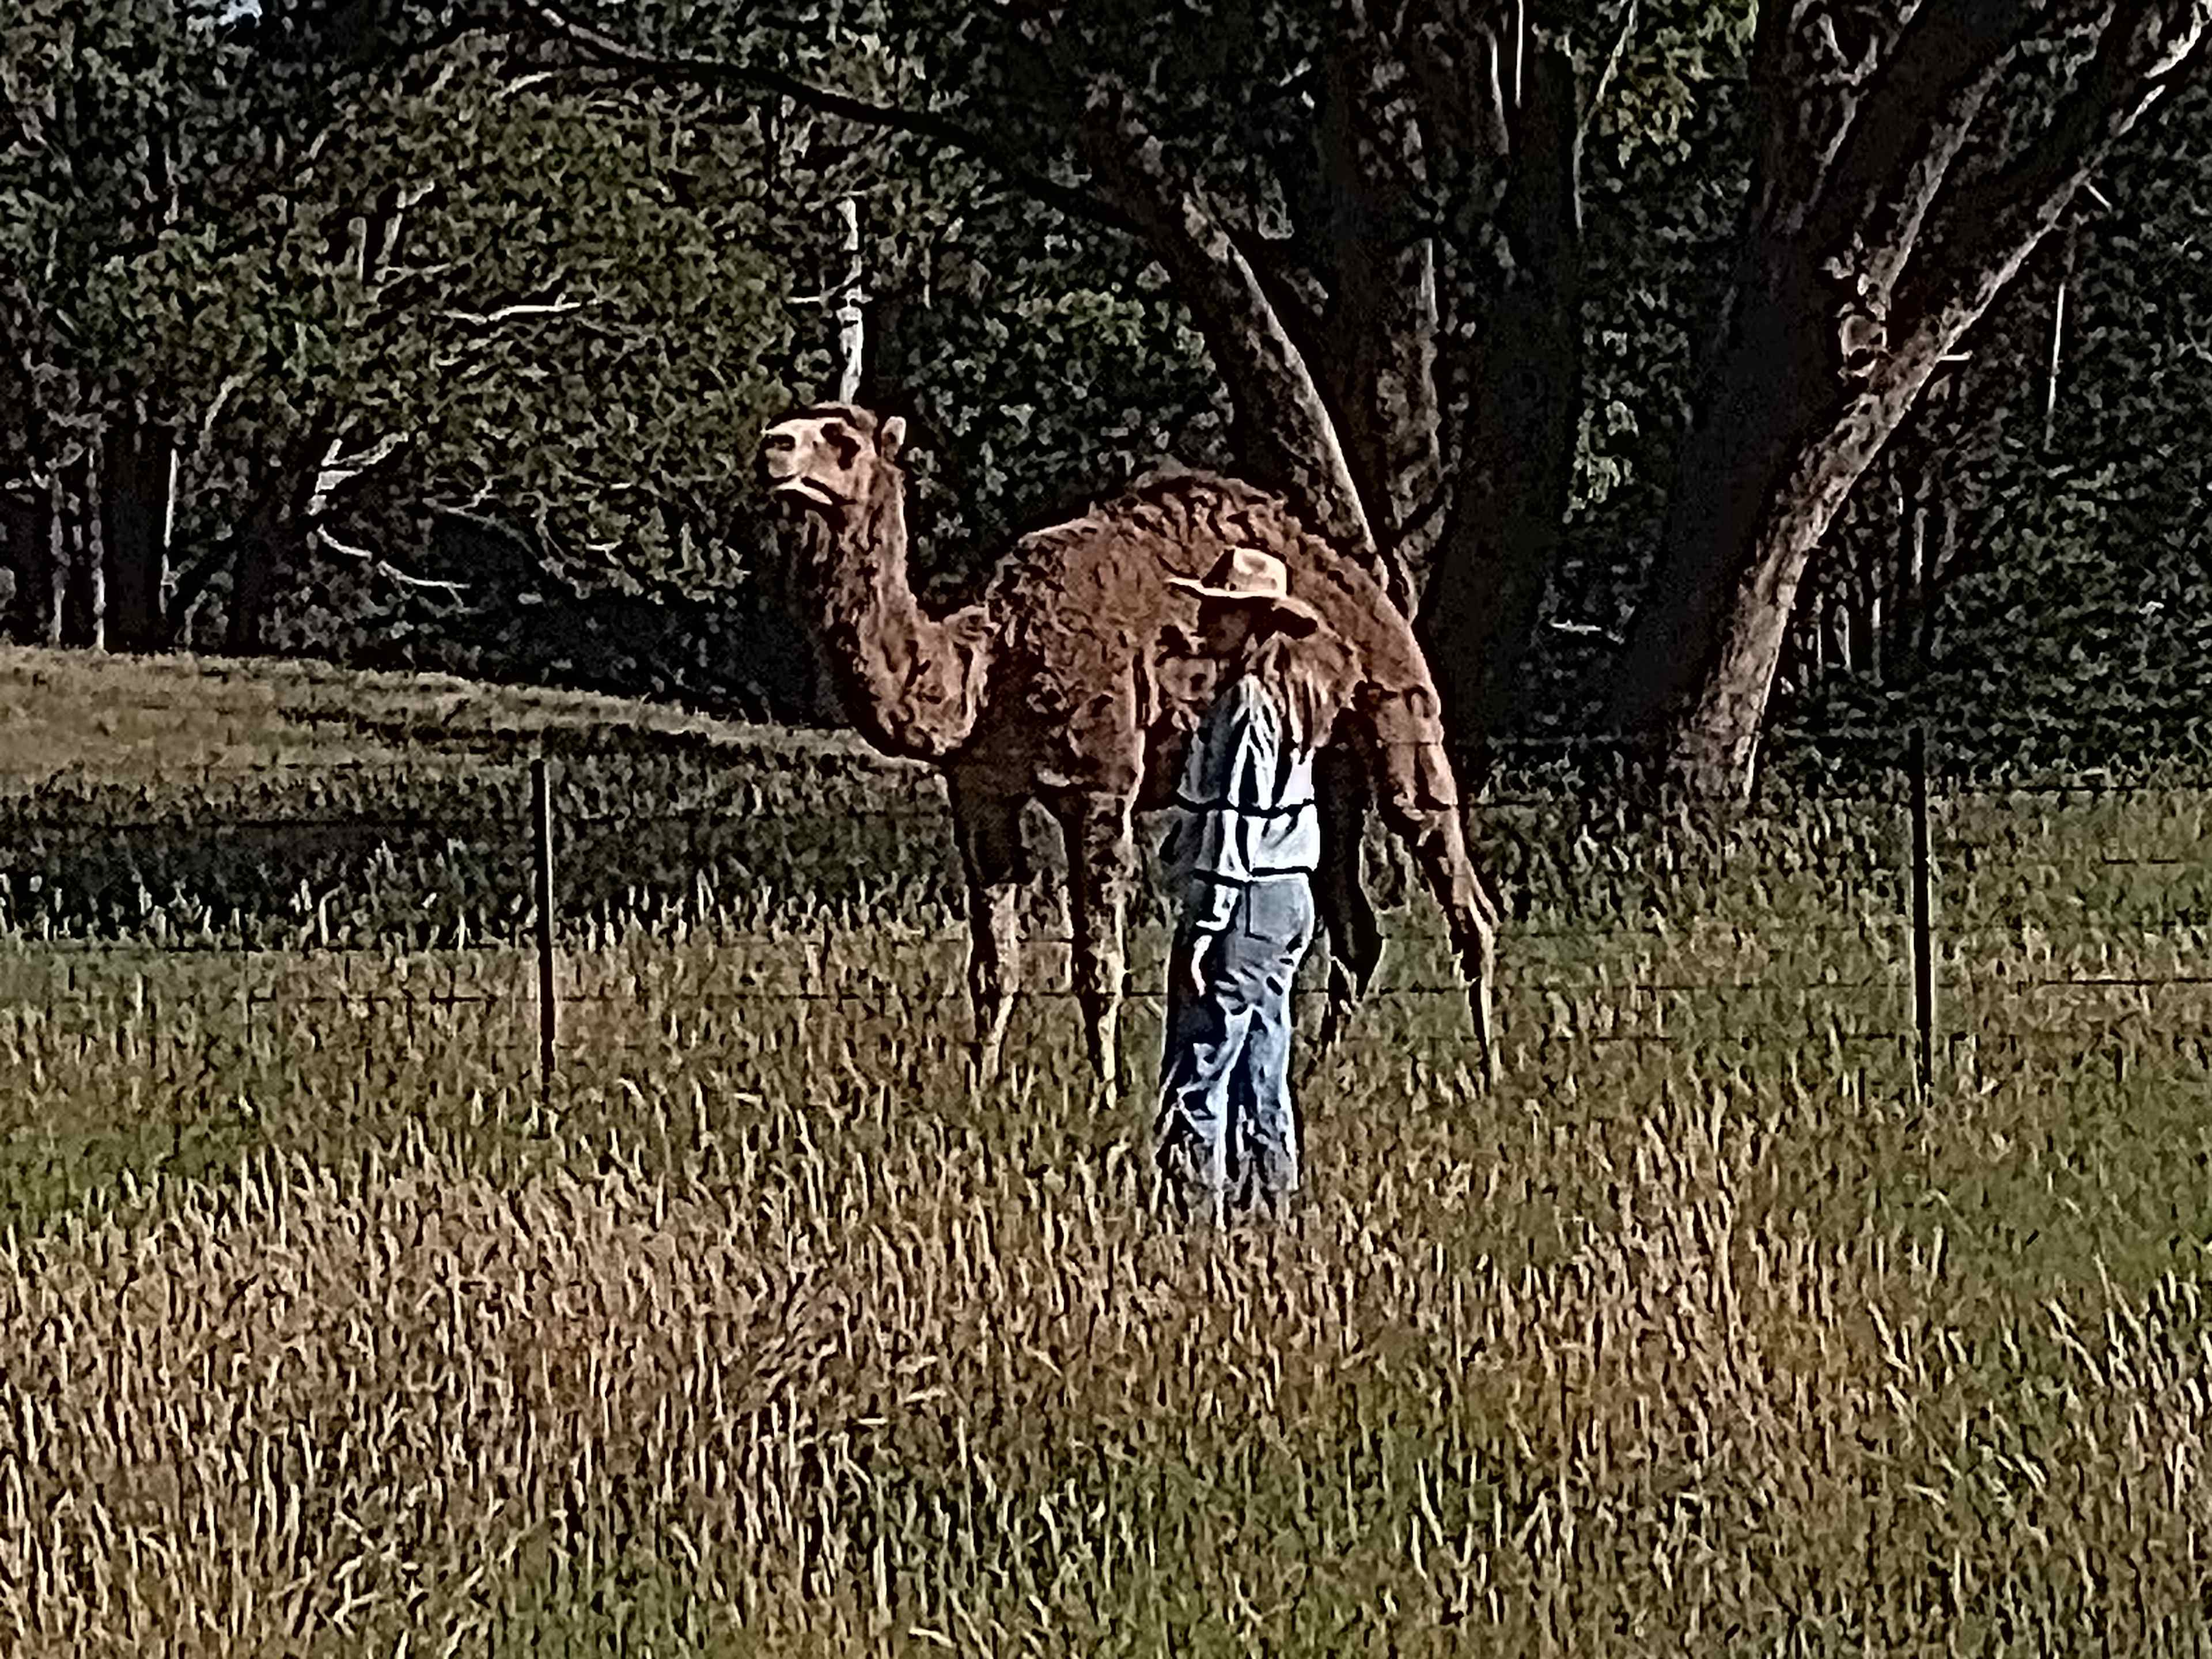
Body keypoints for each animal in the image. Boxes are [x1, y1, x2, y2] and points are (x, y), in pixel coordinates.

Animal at [757, 402, 1501, 1094]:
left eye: (842, 441)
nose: (773, 447)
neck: (990, 666)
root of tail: (1365, 587)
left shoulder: (1099, 782)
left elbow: (1098, 962)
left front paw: (1105, 1091)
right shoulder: (979, 791)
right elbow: (994, 964)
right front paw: (980, 1085)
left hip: (1400, 709)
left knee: (1457, 885)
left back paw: (1489, 1073)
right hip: (1328, 771)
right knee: (1355, 929)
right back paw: (1314, 1073)